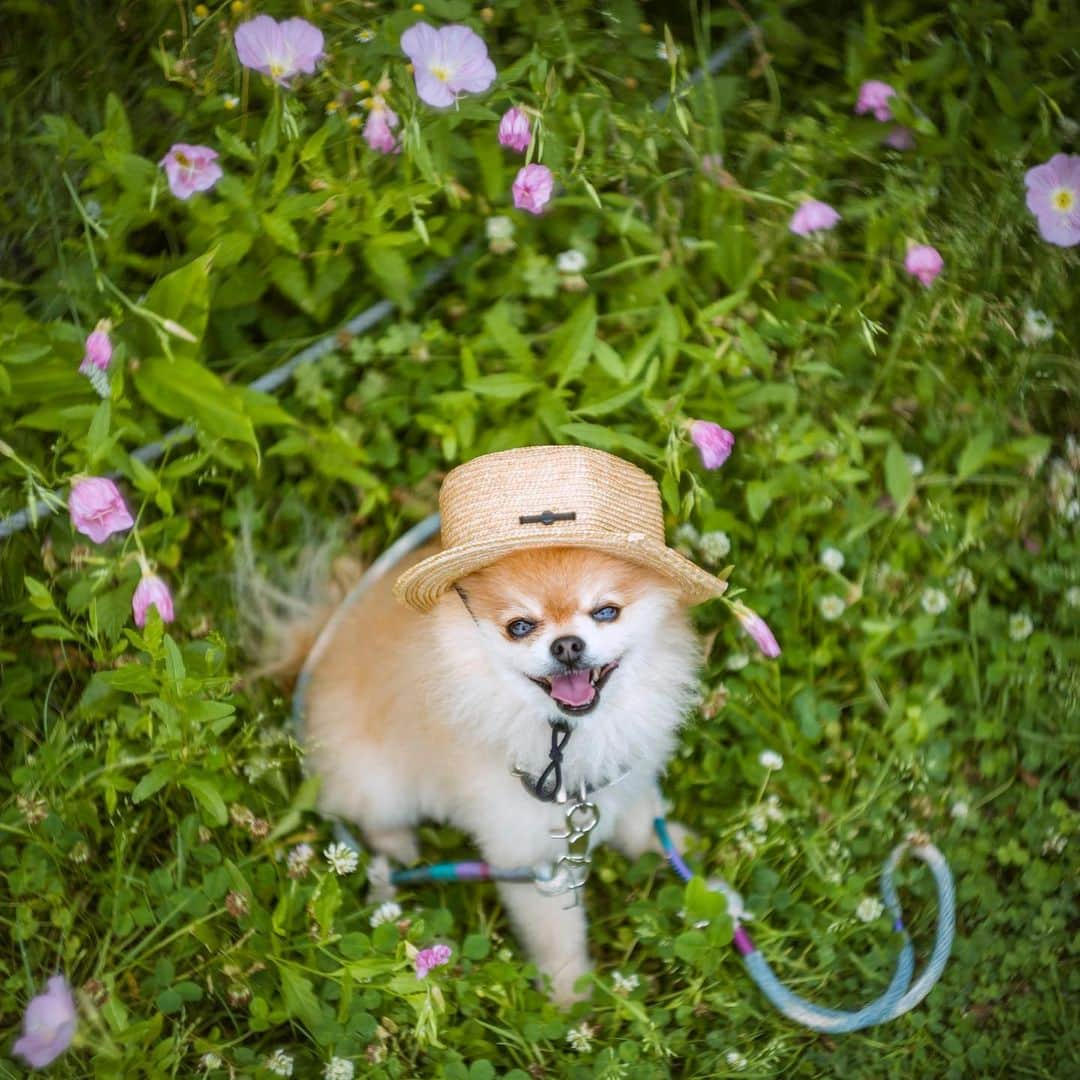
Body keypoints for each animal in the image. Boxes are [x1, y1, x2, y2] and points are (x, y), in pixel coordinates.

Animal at [253, 442, 725, 997]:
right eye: (519, 626)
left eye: (606, 612)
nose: (567, 645)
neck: (568, 736)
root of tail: (316, 653)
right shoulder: (532, 857)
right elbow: (558, 938)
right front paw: (570, 998)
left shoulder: (624, 773)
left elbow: (639, 817)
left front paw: (675, 849)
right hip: (375, 781)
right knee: (371, 816)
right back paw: (399, 849)